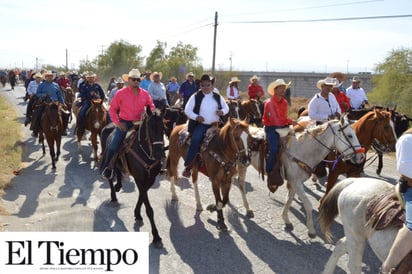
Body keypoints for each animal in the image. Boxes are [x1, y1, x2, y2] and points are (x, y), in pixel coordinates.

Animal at [99, 107, 164, 248]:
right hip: (108, 159)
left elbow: (141, 197)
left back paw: (118, 186)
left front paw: (137, 214)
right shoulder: (140, 179)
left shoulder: (150, 180)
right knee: (110, 176)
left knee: (118, 169)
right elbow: (149, 208)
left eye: (163, 127)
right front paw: (156, 236)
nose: (159, 154)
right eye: (150, 127)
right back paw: (114, 196)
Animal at [237, 116, 366, 239]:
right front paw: (311, 230)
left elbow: (289, 200)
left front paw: (286, 220)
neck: (301, 151)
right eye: (350, 135)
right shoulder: (296, 183)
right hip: (241, 165)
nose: (361, 156)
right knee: (241, 185)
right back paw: (247, 209)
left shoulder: (294, 182)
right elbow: (308, 205)